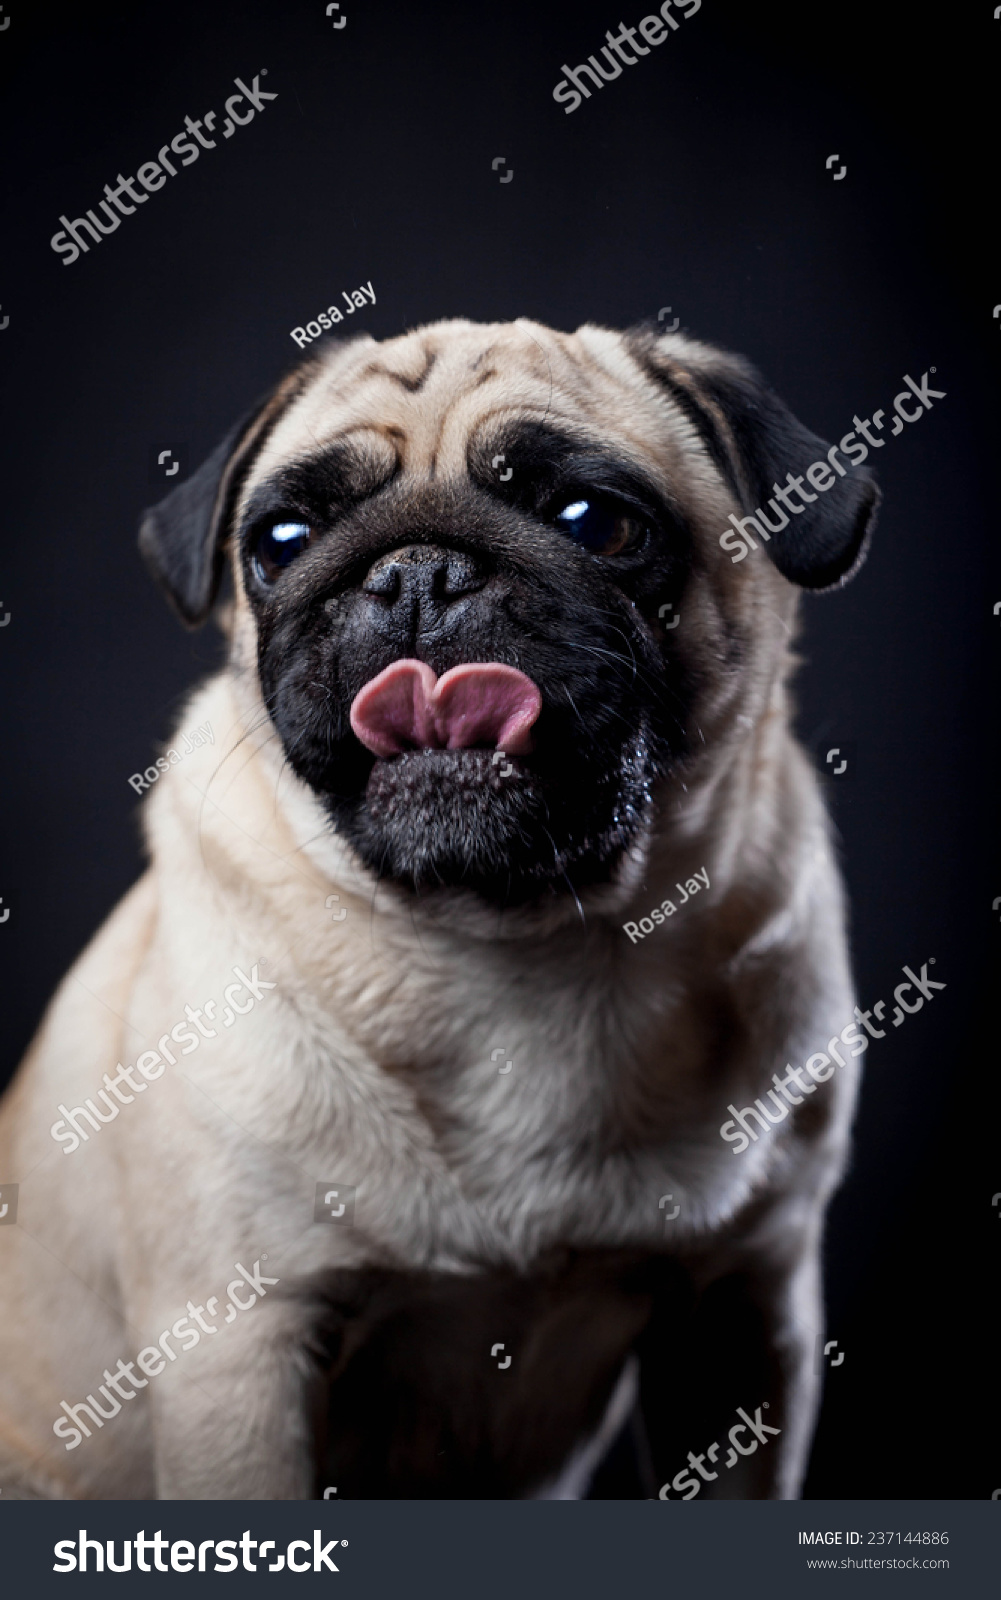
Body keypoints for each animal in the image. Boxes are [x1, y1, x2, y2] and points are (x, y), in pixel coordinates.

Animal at [0, 315, 869, 1497]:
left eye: (595, 523)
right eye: (279, 540)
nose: (415, 572)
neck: (511, 941)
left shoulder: (741, 1308)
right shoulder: (240, 1350)